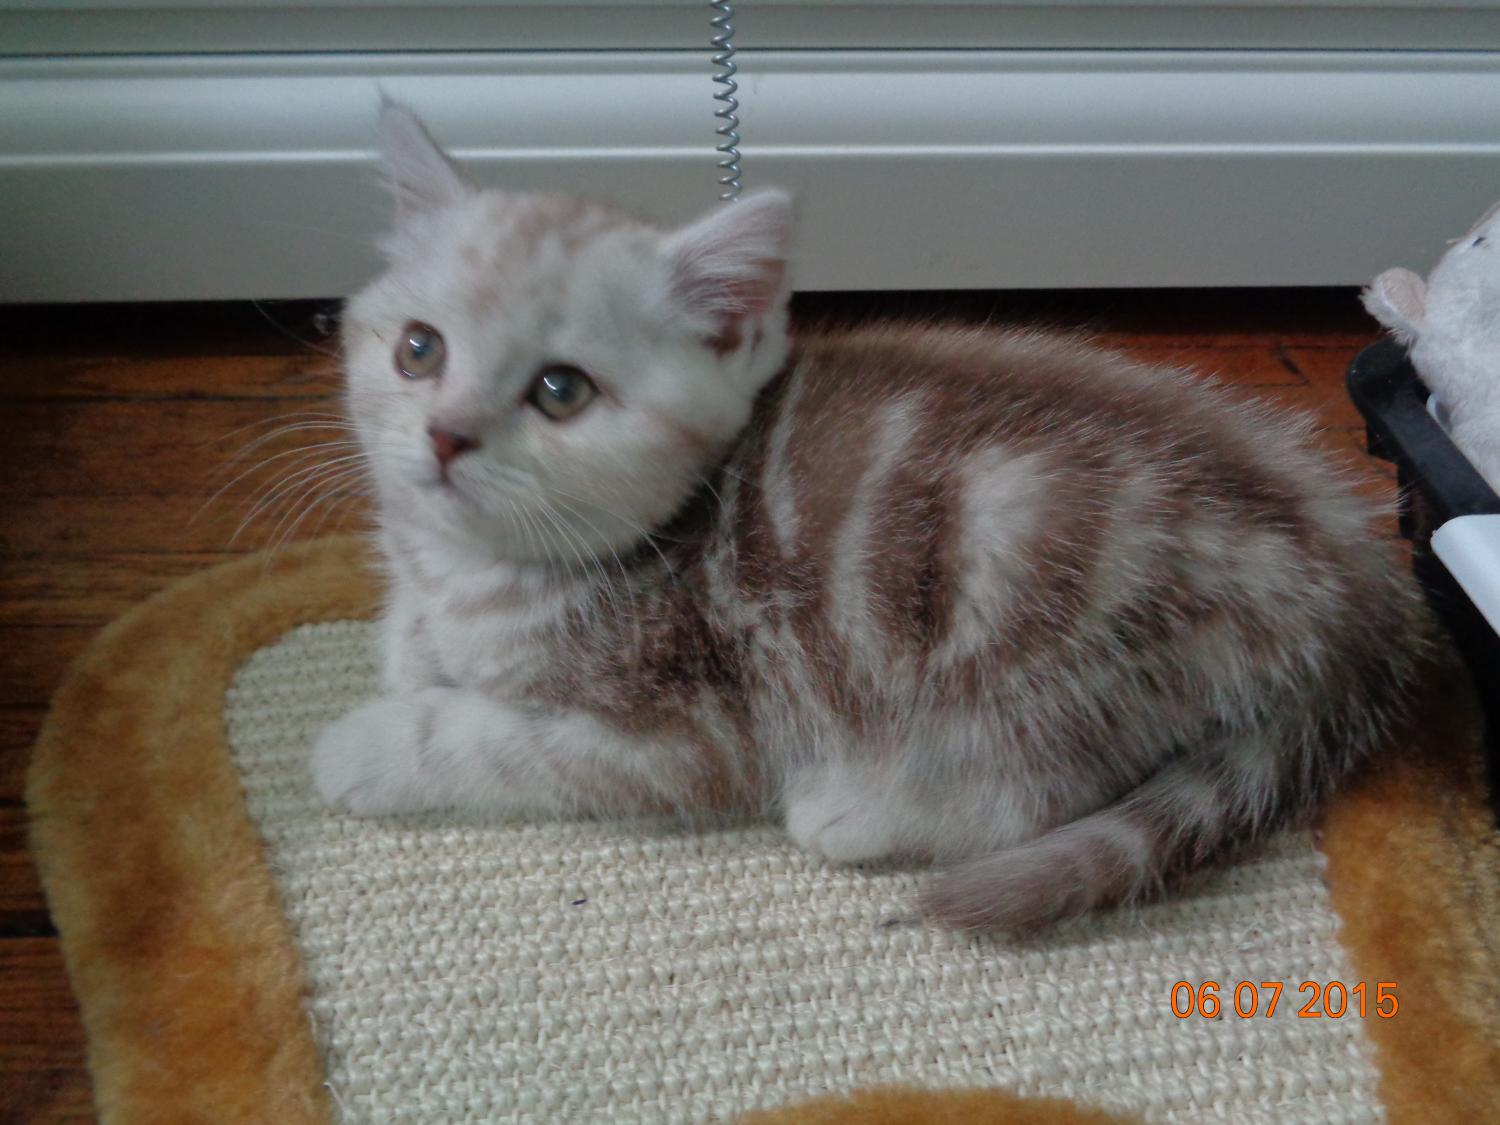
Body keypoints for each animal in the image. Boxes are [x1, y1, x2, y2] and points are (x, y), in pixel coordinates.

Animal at [312, 103, 1431, 932]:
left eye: (560, 391)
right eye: (418, 349)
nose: (446, 436)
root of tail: (1345, 567)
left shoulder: (687, 728)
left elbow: (491, 738)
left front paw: (369, 744)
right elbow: (416, 640)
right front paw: (412, 647)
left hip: (1041, 604)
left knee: (1034, 783)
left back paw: (861, 807)